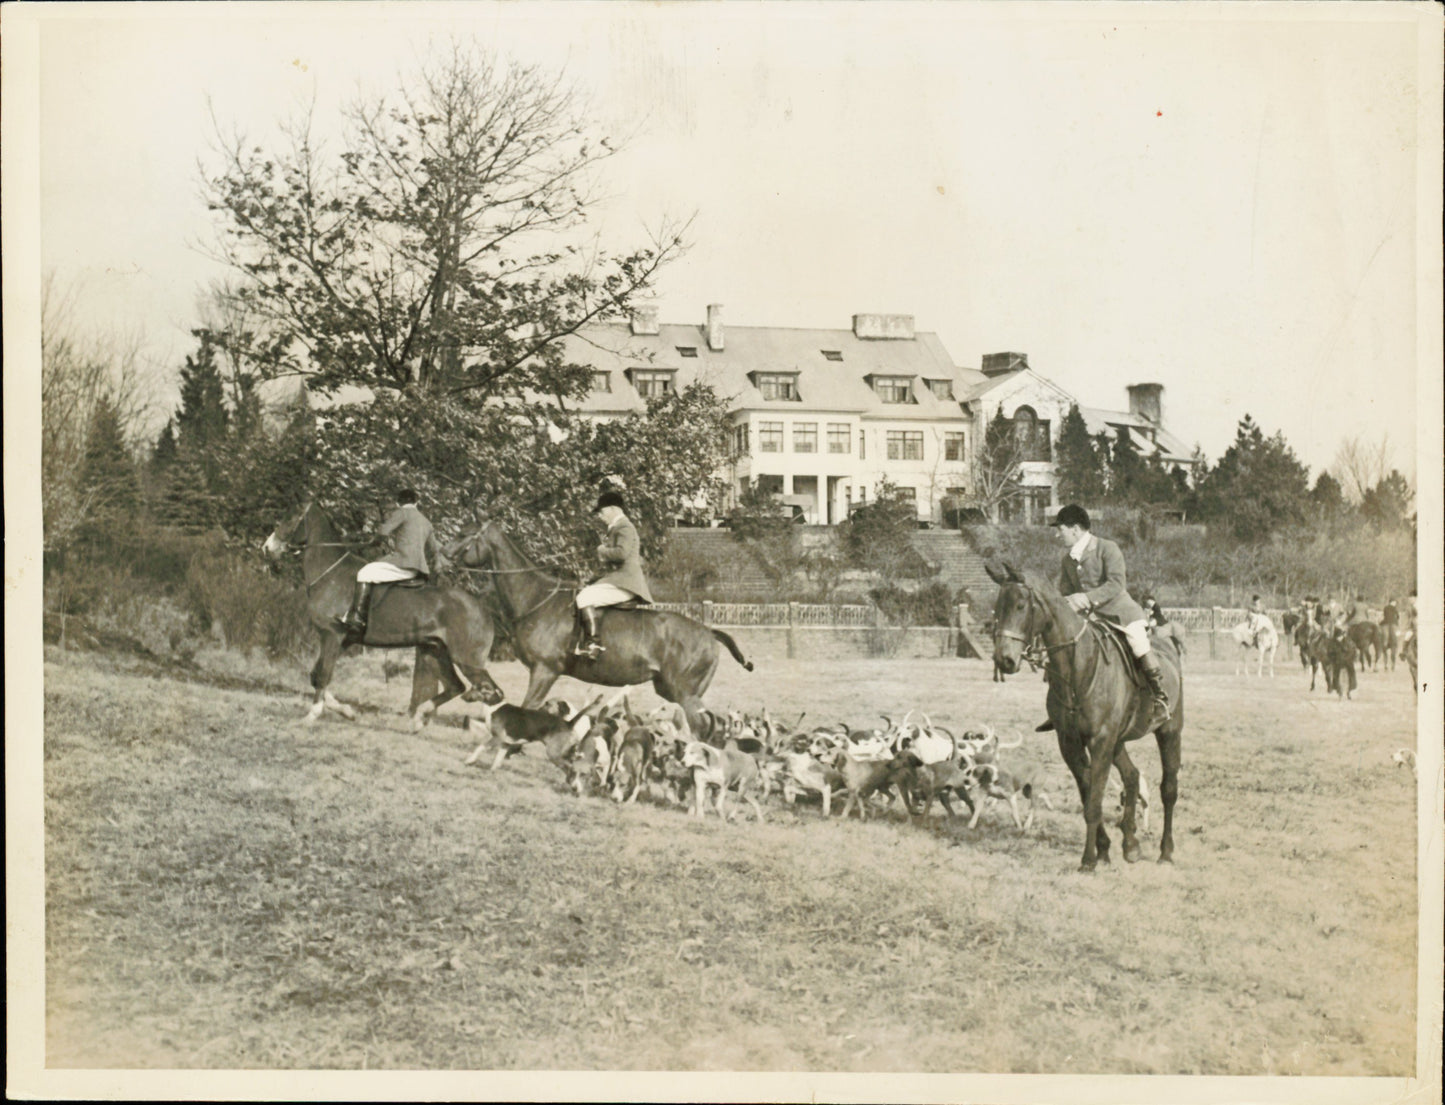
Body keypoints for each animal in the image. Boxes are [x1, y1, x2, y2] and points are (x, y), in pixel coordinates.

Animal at [260, 505, 502, 728]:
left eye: (290, 518)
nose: (267, 548)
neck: (330, 573)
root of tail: (483, 610)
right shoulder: (343, 639)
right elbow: (315, 674)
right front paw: (347, 711)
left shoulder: (332, 635)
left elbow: (323, 675)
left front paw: (312, 715)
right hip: (436, 653)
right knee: (456, 687)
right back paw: (419, 718)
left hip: (467, 660)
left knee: (492, 692)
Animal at [442, 520, 757, 733]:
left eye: (464, 535)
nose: (443, 556)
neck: (536, 598)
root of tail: (708, 631)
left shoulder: (545, 670)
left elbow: (527, 707)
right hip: (674, 690)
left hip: (684, 693)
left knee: (702, 727)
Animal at [988, 560, 1179, 872]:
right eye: (997, 607)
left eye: (1020, 605)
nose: (1003, 660)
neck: (1078, 669)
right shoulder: (1071, 743)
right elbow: (1089, 794)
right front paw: (1104, 849)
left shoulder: (1100, 742)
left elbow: (1093, 801)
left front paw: (1089, 859)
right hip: (1118, 742)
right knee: (1131, 777)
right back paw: (1131, 845)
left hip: (1170, 732)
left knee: (1169, 789)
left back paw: (1166, 851)